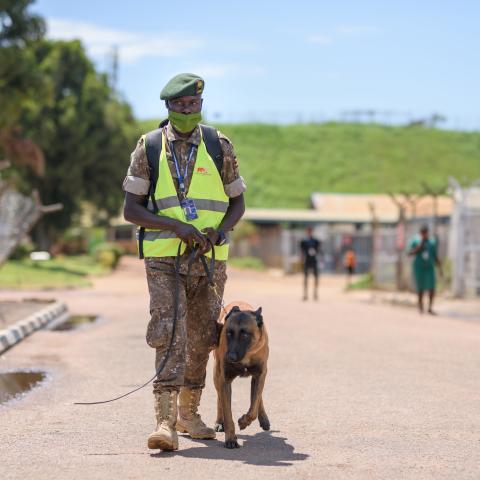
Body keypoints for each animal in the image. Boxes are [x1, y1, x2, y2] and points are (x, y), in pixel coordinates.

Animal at [214, 302, 270, 448]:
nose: (231, 357)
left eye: (245, 335)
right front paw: (230, 438)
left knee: (258, 398)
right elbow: (228, 413)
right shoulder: (225, 380)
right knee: (219, 398)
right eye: (228, 333)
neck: (247, 355)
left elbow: (253, 409)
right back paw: (219, 421)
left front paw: (244, 421)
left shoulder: (259, 375)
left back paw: (263, 418)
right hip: (216, 375)